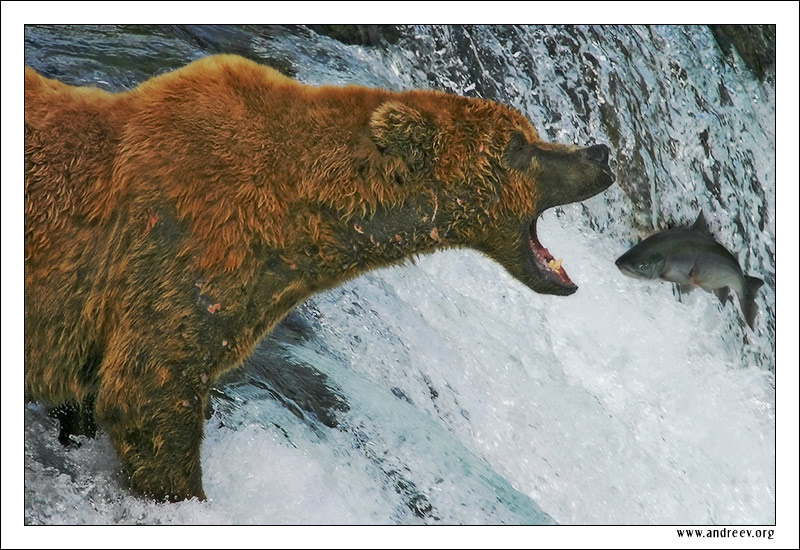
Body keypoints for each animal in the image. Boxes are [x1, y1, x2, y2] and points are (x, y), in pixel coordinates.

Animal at [24, 54, 615, 502]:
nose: (600, 151)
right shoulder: (180, 254)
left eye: (531, 131)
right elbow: (148, 393)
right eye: (519, 145)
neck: (300, 216)